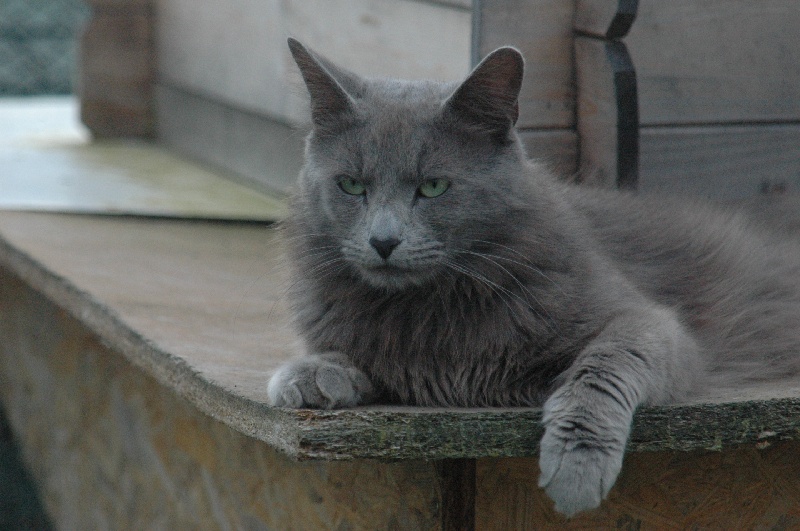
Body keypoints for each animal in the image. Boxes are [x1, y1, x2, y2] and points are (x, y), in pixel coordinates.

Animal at [268, 38, 800, 520]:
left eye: (434, 186)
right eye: (351, 185)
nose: (383, 241)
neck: (429, 309)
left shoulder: (651, 323)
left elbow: (605, 365)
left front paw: (576, 467)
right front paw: (310, 375)